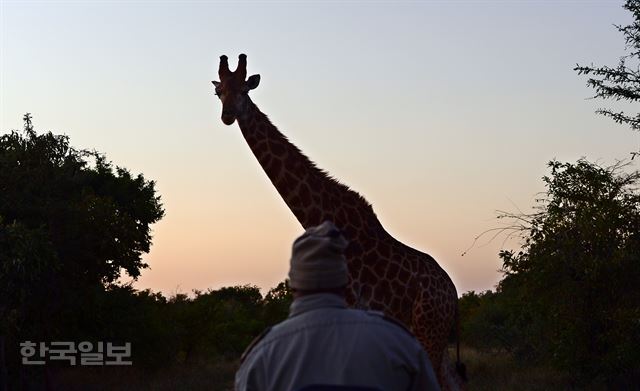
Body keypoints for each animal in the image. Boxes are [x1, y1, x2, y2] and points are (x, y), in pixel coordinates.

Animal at [212, 53, 462, 390]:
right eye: (219, 92)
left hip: (429, 330)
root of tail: (453, 295)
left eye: (244, 90)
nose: (228, 115)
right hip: (433, 335)